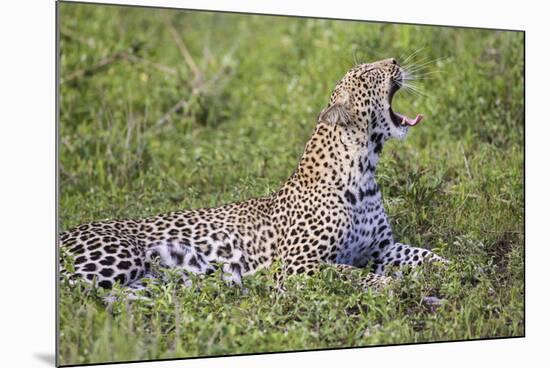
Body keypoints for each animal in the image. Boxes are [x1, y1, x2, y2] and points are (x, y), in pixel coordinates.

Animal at [59, 58, 448, 296]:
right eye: (368, 75)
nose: (395, 61)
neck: (365, 171)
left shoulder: (383, 247)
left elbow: (424, 254)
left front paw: (453, 268)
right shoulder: (296, 265)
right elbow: (348, 272)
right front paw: (387, 284)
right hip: (118, 258)